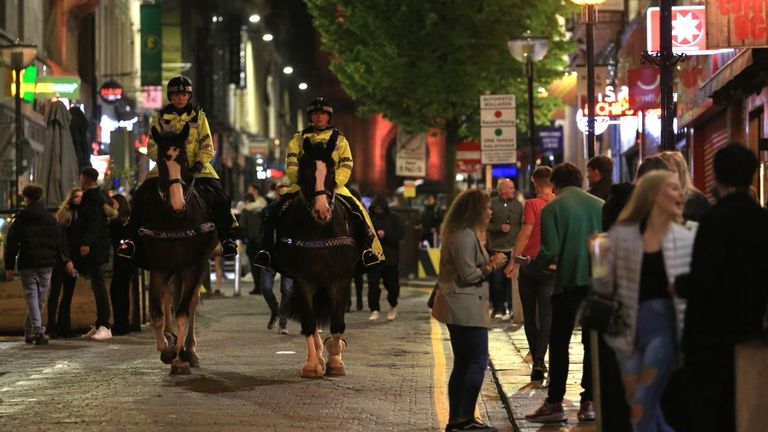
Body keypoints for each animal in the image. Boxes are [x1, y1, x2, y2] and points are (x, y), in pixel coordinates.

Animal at [136, 125, 216, 374]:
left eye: (184, 160)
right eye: (161, 163)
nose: (178, 205)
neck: (175, 221)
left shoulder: (192, 267)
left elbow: (183, 313)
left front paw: (180, 354)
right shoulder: (159, 268)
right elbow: (157, 314)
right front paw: (167, 350)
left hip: (198, 267)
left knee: (190, 304)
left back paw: (189, 351)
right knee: (171, 299)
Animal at [276, 137, 360, 376]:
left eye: (331, 173)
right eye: (305, 174)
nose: (322, 212)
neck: (321, 231)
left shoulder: (341, 279)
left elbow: (337, 323)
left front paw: (336, 358)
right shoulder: (303, 280)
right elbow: (309, 322)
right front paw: (314, 364)